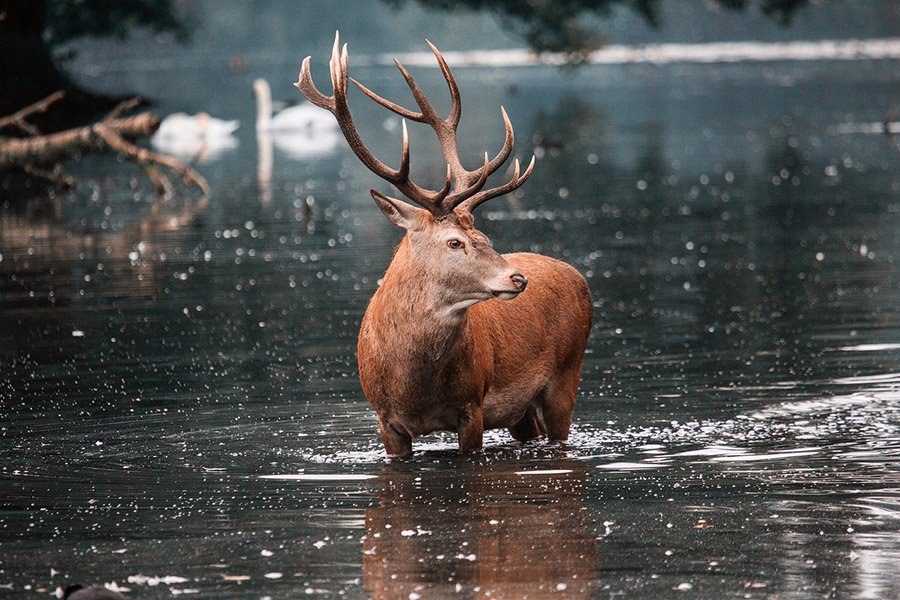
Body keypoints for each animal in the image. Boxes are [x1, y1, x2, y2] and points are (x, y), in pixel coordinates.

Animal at [296, 33, 592, 457]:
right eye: (454, 242)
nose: (518, 279)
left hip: (567, 375)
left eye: (484, 237)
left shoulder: (473, 406)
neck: (416, 389)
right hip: (521, 411)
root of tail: (578, 277)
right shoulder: (385, 420)